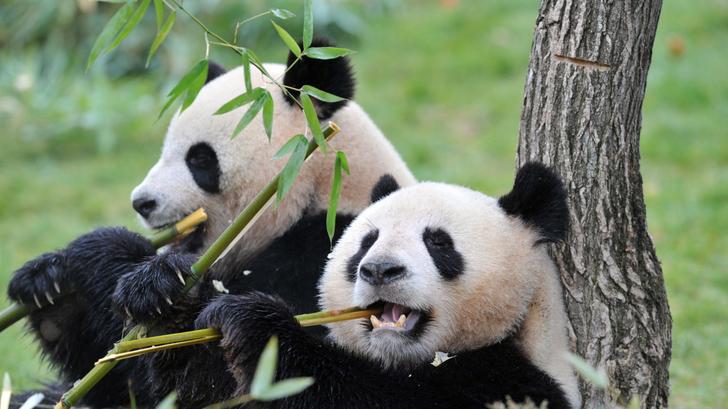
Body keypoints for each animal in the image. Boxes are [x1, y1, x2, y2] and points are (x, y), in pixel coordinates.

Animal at [7, 39, 415, 408]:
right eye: (164, 151)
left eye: (200, 159)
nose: (142, 202)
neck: (322, 190)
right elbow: (122, 382)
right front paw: (49, 282)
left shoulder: (321, 257)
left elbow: (217, 379)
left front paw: (156, 286)